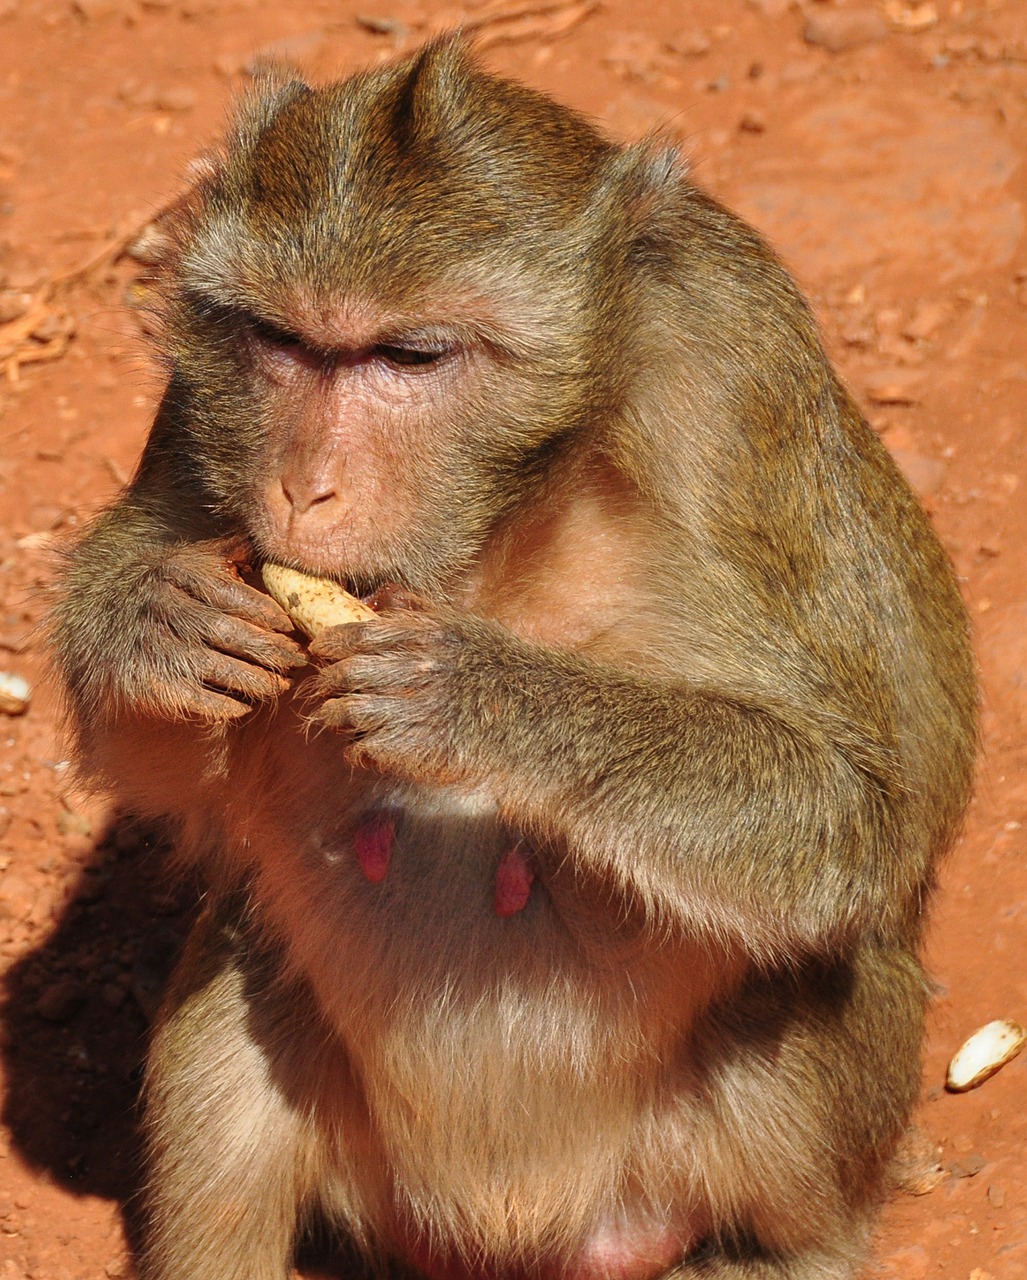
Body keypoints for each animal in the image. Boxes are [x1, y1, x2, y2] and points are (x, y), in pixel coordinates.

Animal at [49, 37, 978, 1280]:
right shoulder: (205, 405)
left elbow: (863, 810)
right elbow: (172, 755)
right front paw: (156, 623)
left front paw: (482, 697)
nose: (303, 485)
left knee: (811, 981)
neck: (504, 522)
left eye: (408, 354)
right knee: (232, 988)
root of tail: (514, 1223)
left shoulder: (742, 381)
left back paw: (784, 1250)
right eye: (281, 343)